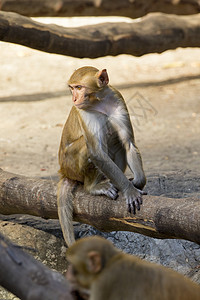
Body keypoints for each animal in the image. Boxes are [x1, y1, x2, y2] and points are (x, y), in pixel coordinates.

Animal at [57, 66, 146, 246]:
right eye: (72, 88)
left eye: (79, 87)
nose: (74, 98)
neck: (99, 101)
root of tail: (64, 171)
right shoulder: (84, 112)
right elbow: (96, 153)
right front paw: (129, 190)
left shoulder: (118, 99)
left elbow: (128, 143)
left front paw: (137, 182)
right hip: (71, 164)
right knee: (91, 144)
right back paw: (93, 187)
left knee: (117, 141)